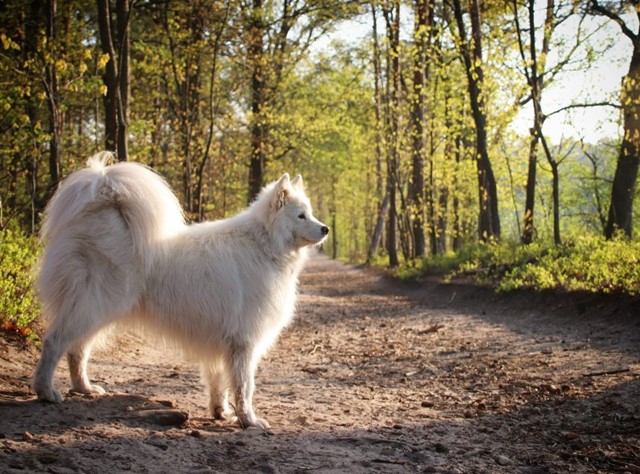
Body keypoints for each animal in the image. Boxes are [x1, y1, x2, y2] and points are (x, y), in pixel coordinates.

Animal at [31, 153, 328, 430]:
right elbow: (244, 387)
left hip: (98, 312)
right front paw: (249, 420)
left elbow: (218, 382)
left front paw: (222, 413)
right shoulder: (244, 342)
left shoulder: (222, 342)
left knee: (77, 350)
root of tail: (103, 210)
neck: (263, 243)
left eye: (311, 213)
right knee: (55, 343)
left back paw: (84, 388)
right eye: (301, 215)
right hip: (94, 305)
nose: (325, 229)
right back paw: (46, 391)